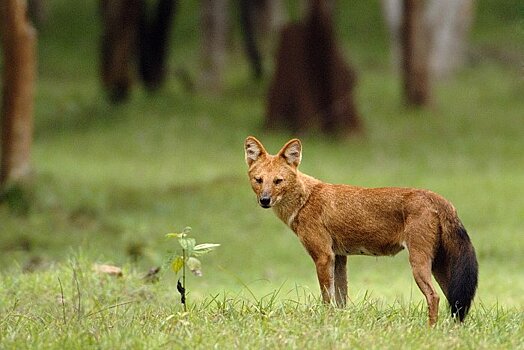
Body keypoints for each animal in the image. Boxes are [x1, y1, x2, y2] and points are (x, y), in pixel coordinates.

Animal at [244, 136, 476, 326]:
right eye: (258, 180)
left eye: (278, 181)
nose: (264, 200)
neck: (305, 200)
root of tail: (438, 198)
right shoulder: (339, 257)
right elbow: (341, 299)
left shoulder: (323, 256)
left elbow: (327, 298)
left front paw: (325, 323)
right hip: (439, 266)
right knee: (455, 301)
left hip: (419, 262)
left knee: (434, 297)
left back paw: (430, 330)